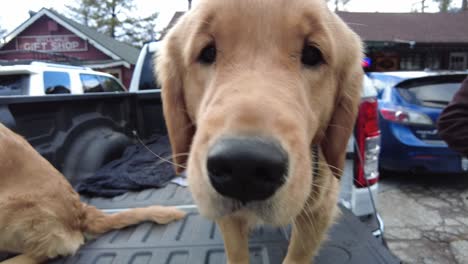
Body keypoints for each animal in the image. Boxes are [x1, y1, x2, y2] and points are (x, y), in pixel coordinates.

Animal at [155, 0, 364, 262]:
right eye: (207, 52)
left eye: (312, 54)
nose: (243, 167)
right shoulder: (229, 221)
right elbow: (236, 251)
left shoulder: (318, 211)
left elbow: (297, 255)